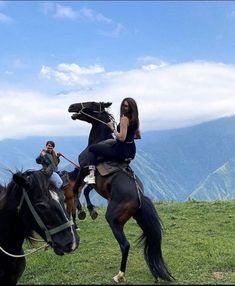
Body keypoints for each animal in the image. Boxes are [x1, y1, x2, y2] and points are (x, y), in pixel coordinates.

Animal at [67, 101, 173, 282]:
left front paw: (81, 211)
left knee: (125, 245)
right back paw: (154, 273)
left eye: (92, 104)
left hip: (113, 220)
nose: (71, 107)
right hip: (140, 219)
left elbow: (76, 190)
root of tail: (140, 197)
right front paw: (91, 210)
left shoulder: (83, 168)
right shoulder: (96, 182)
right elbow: (87, 190)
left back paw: (120, 275)